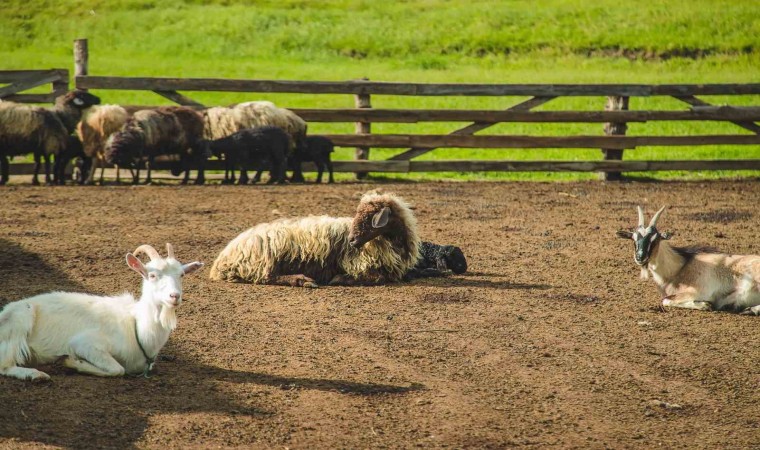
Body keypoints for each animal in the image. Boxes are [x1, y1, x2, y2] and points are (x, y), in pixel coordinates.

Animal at [0, 244, 203, 382]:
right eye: (152, 275)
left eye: (182, 275)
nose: (174, 296)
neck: (136, 326)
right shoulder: (85, 343)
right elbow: (117, 369)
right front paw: (72, 362)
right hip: (20, 318)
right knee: (4, 365)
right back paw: (35, 375)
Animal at [209, 192, 422, 286]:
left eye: (370, 217)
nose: (352, 241)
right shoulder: (357, 264)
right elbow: (377, 277)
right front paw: (339, 279)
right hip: (268, 257)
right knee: (267, 277)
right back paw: (302, 280)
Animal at [616, 207, 760, 314]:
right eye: (633, 239)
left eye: (655, 239)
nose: (640, 257)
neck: (681, 267)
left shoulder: (700, 291)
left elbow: (665, 300)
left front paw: (705, 305)